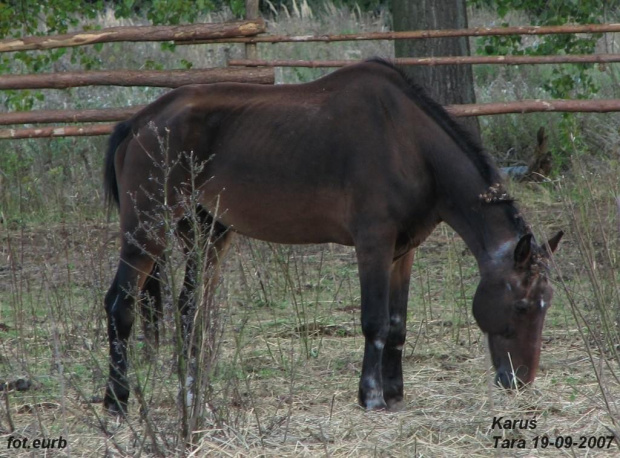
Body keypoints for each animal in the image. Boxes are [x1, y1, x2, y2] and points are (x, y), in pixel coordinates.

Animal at [100, 58, 560, 416]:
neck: (409, 144)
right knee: (121, 304)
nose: (520, 380)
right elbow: (375, 321)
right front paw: (371, 396)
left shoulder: (403, 252)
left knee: (189, 310)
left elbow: (397, 324)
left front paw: (395, 393)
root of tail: (139, 122)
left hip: (207, 234)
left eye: (546, 304)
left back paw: (194, 394)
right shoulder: (373, 244)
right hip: (147, 231)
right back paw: (117, 401)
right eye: (521, 306)